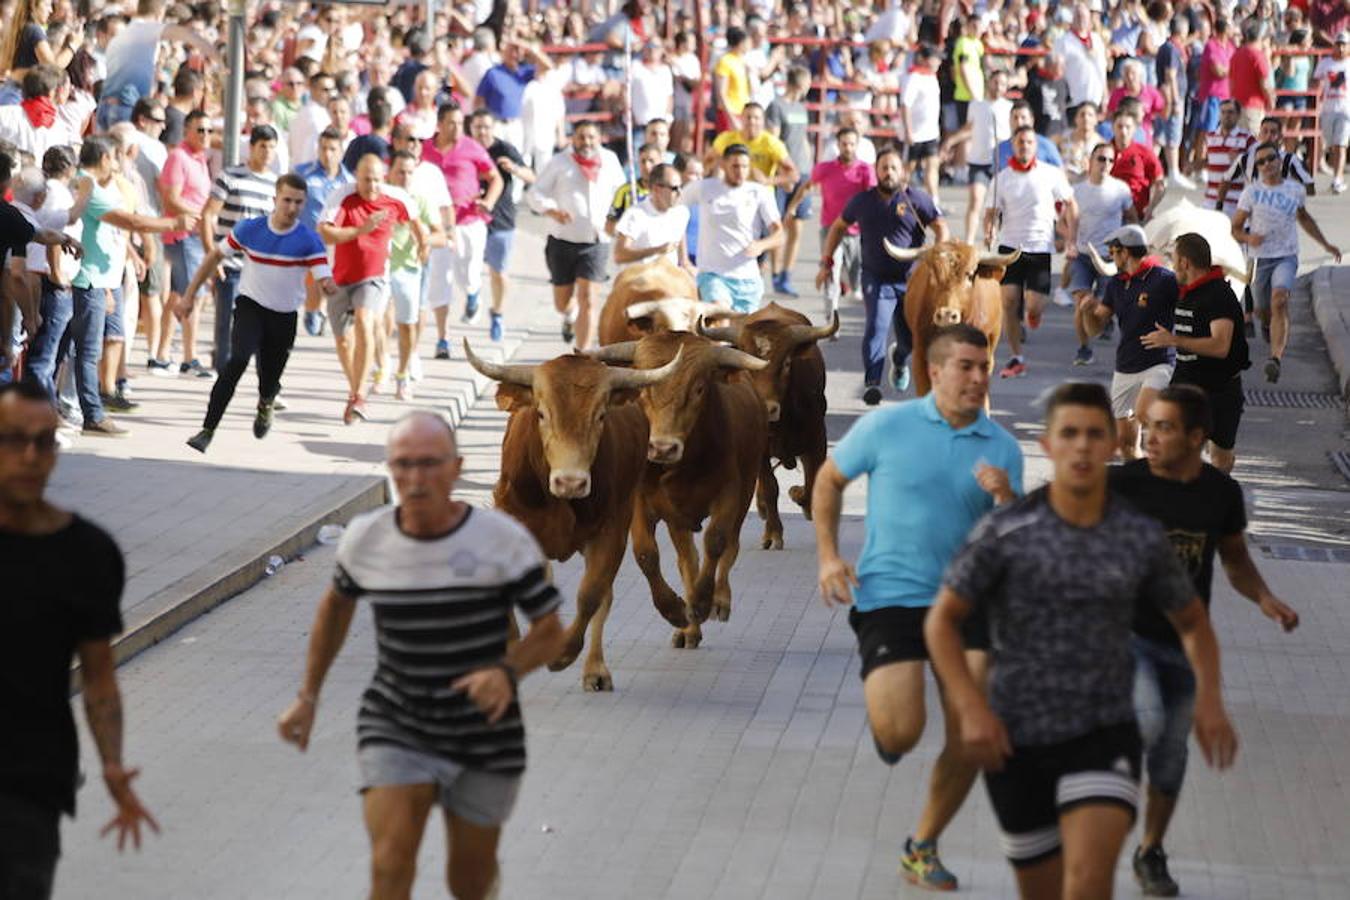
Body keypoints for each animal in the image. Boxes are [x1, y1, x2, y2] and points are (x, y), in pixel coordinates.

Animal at [467, 341, 680, 696]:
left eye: (601, 415)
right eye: (541, 413)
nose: (571, 482)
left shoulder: (611, 533)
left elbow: (590, 594)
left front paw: (562, 653)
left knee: (603, 595)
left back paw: (595, 668)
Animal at [591, 330, 772, 647]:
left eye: (699, 389)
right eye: (643, 388)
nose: (663, 447)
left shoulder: (729, 494)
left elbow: (716, 541)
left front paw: (701, 602)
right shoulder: (640, 504)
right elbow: (646, 555)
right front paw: (675, 611)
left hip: (747, 488)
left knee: (730, 546)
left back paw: (719, 601)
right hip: (678, 521)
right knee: (688, 561)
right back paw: (689, 630)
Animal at [702, 302, 837, 550]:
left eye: (786, 364)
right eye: (747, 368)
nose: (768, 408)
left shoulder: (817, 439)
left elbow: (813, 481)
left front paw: (799, 496)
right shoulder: (760, 449)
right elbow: (770, 486)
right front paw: (773, 533)